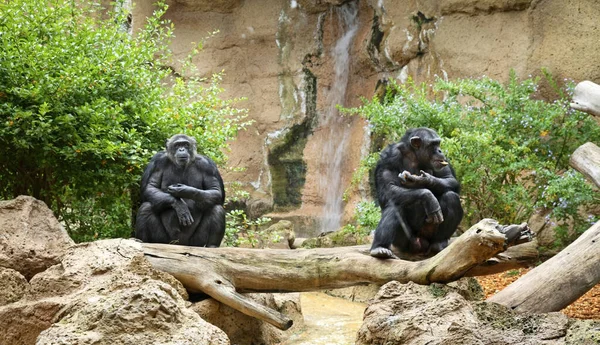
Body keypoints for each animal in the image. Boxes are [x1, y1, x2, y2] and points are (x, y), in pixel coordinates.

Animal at [370, 127, 464, 258]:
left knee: (451, 197)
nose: (440, 150)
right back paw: (379, 248)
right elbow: (388, 189)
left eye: (438, 143)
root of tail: (420, 245)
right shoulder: (389, 157)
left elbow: (450, 179)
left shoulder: (442, 160)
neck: (415, 155)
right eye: (433, 144)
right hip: (404, 242)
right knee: (395, 205)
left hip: (429, 235)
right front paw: (428, 197)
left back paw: (439, 244)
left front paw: (422, 180)